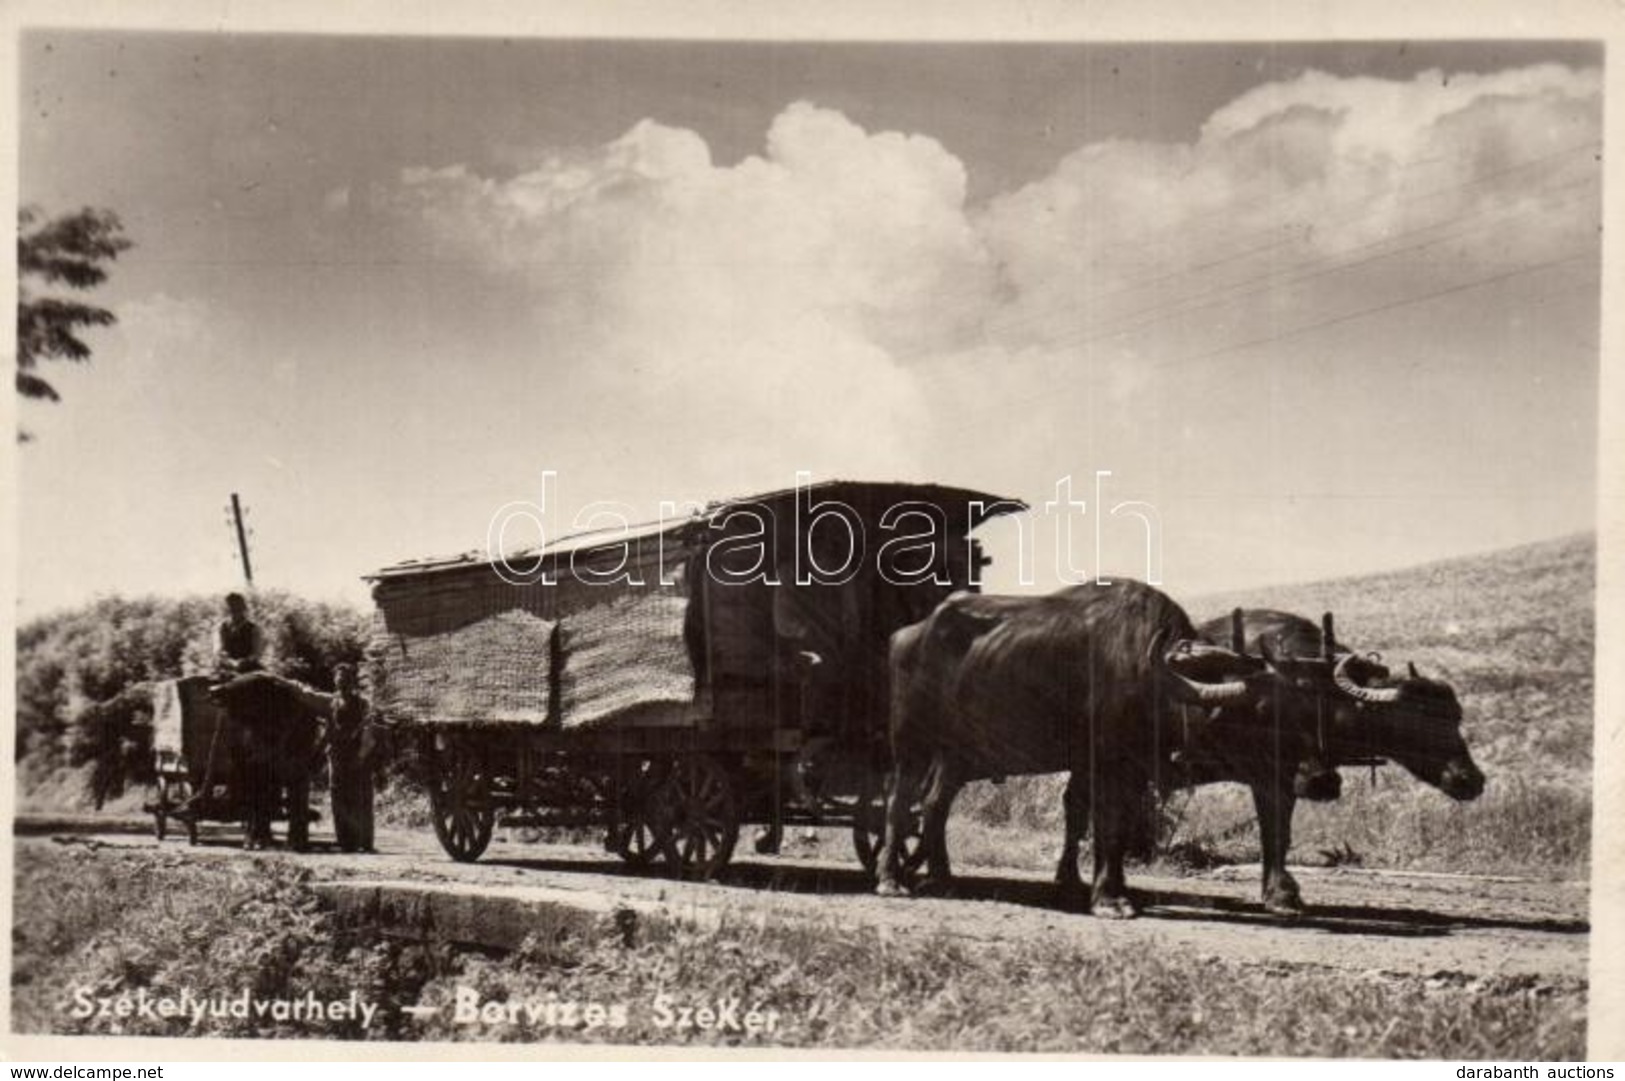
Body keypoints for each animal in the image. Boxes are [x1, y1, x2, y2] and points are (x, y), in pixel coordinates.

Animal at [877, 578, 1267, 916]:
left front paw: (1099, 887)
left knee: (934, 804)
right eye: (1247, 717)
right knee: (899, 802)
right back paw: (891, 880)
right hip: (911, 742)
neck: (1147, 676)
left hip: (957, 754)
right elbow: (1108, 823)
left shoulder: (1125, 769)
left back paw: (942, 878)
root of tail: (906, 635)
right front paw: (1109, 899)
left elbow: (1103, 822)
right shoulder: (1108, 764)